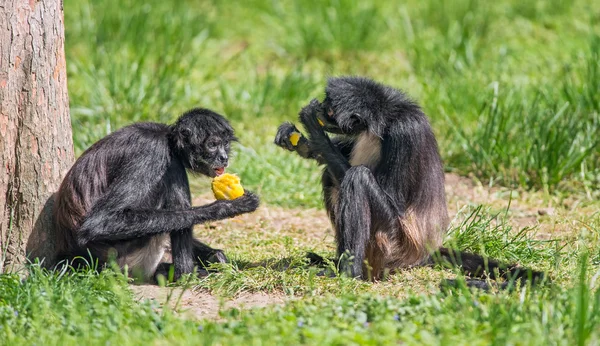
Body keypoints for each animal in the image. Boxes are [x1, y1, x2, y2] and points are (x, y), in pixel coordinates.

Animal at [55, 107, 260, 282]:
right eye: (212, 145)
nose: (224, 158)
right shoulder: (153, 151)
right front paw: (226, 207)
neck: (168, 140)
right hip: (124, 256)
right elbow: (99, 223)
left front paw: (214, 256)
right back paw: (183, 274)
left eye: (225, 145)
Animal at [274, 76, 548, 286]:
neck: (387, 117)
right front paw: (301, 143)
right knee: (333, 177)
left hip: (392, 244)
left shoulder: (404, 131)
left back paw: (349, 273)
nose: (319, 106)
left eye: (327, 108)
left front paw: (313, 127)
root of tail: (424, 251)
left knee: (357, 177)